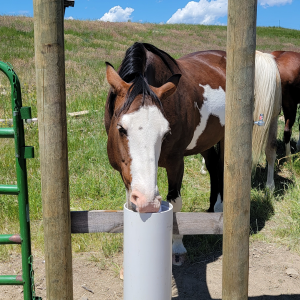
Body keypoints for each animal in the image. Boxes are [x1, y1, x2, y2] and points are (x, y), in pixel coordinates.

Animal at [103, 42, 282, 264]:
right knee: (213, 167)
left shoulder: (175, 163)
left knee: (223, 168)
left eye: (166, 132)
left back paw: (219, 209)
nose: (149, 201)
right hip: (206, 141)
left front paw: (178, 247)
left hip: (229, 137)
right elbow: (130, 202)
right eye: (121, 128)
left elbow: (175, 203)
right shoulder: (125, 170)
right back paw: (212, 209)